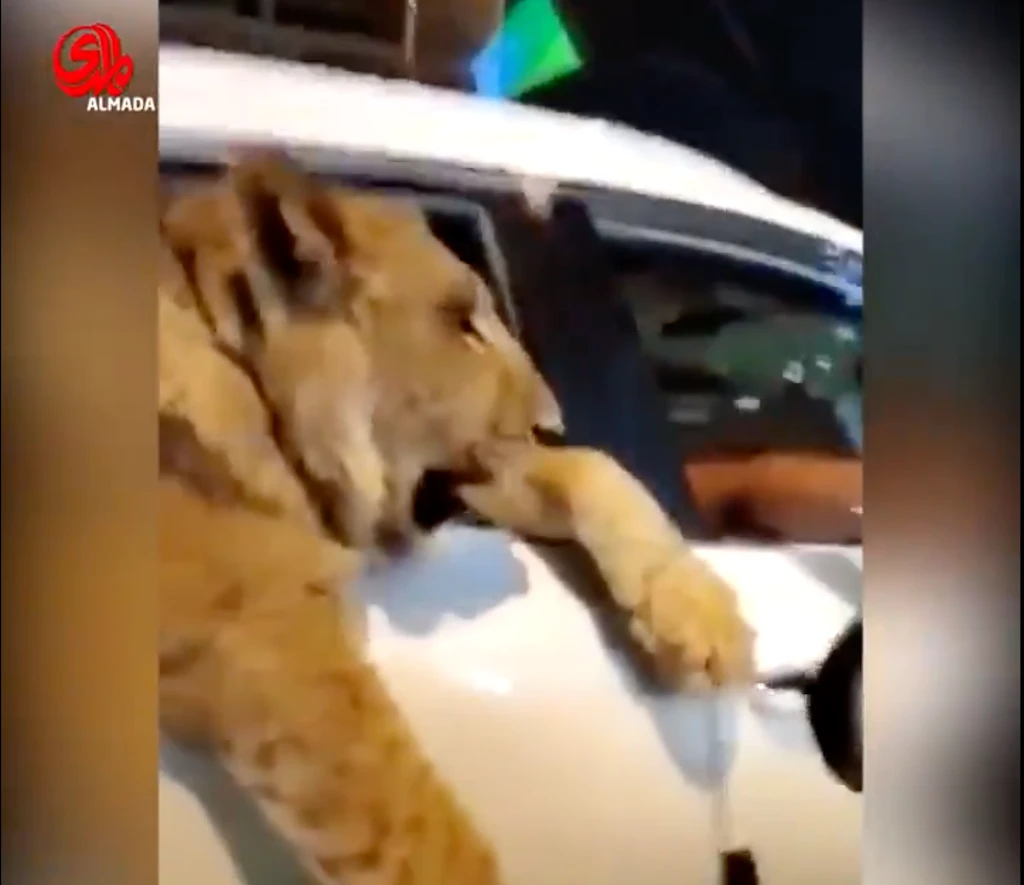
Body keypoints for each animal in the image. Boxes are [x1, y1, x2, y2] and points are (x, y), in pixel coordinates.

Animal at [158, 151, 755, 885]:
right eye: (460, 321)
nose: (549, 421)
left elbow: (591, 464)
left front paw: (698, 618)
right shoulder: (264, 635)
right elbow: (426, 837)